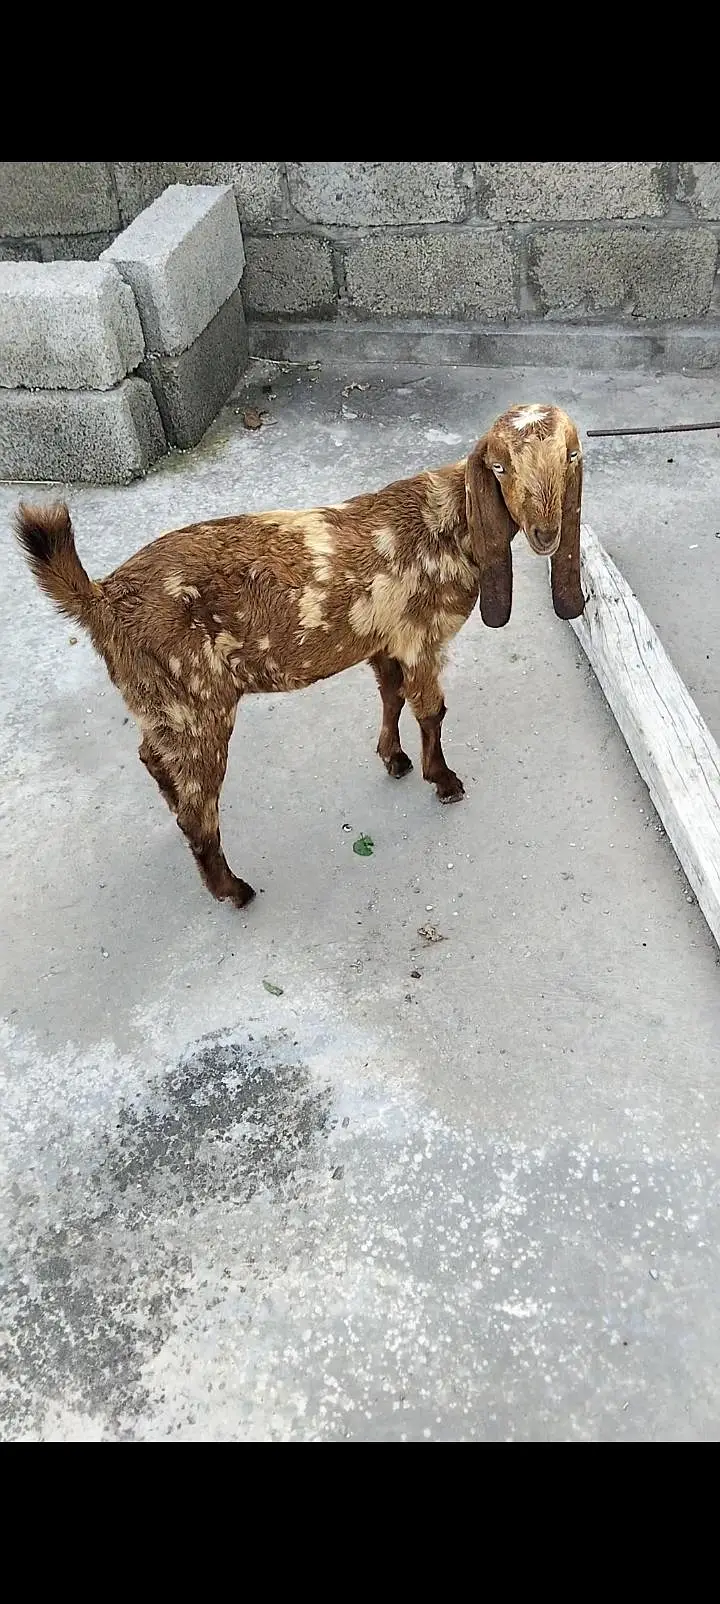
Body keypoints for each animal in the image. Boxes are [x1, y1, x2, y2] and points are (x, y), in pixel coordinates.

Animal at [14, 402, 584, 910]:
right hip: (196, 702)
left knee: (153, 759)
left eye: (569, 459)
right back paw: (233, 890)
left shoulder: (382, 638)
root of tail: (101, 598)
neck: (449, 519)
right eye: (500, 466)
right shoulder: (421, 637)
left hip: (160, 703)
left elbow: (390, 694)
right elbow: (430, 710)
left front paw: (394, 759)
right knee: (199, 806)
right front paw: (443, 781)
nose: (545, 534)